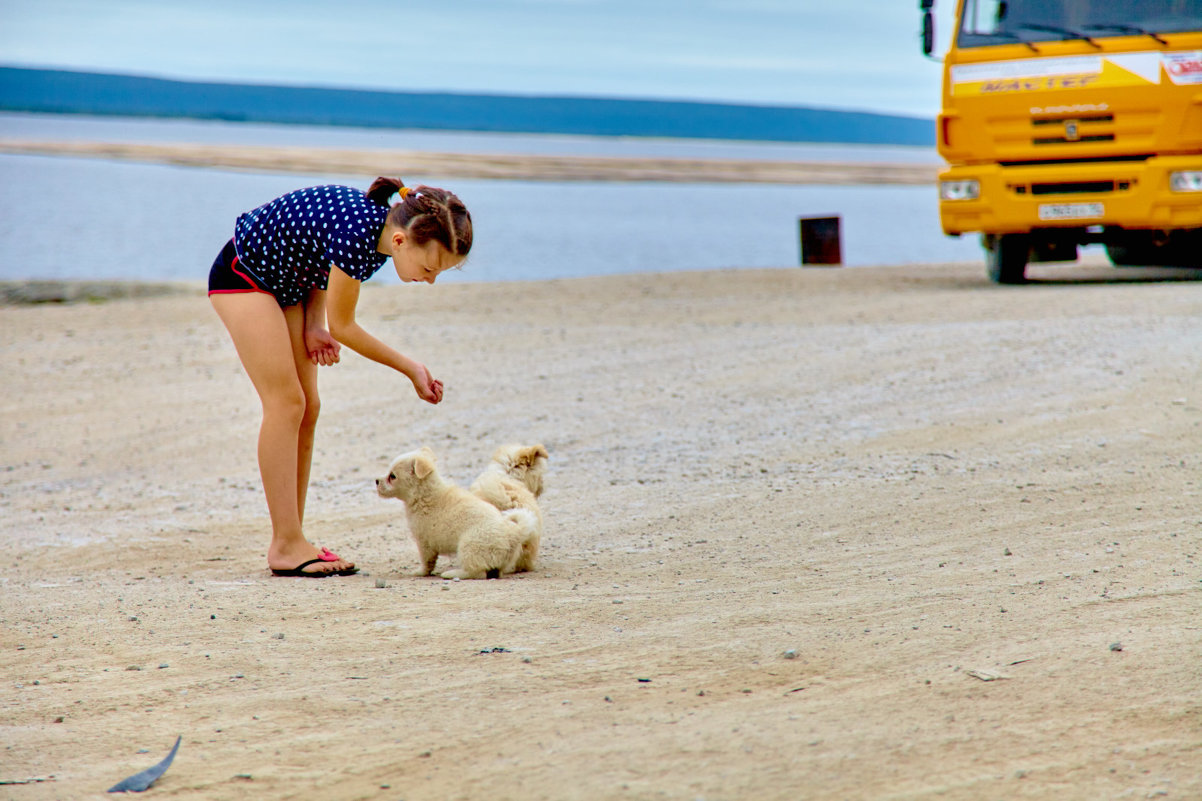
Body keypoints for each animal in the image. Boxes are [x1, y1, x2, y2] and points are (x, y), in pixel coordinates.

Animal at [377, 442, 538, 579]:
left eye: (392, 476)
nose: (376, 481)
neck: (424, 494)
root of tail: (513, 533)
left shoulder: (424, 543)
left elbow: (427, 562)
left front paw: (420, 572)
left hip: (468, 547)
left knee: (477, 572)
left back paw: (452, 573)